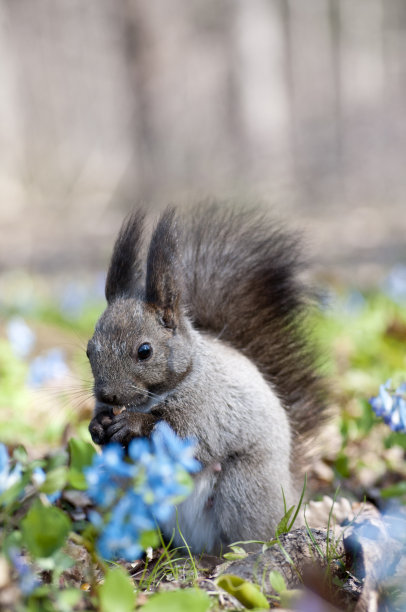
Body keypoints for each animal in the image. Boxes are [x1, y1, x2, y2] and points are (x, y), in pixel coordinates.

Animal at [87, 204, 326, 556]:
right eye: (90, 350)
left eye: (145, 351)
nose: (109, 396)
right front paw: (98, 427)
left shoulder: (209, 408)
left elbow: (184, 435)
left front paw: (131, 424)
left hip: (243, 487)